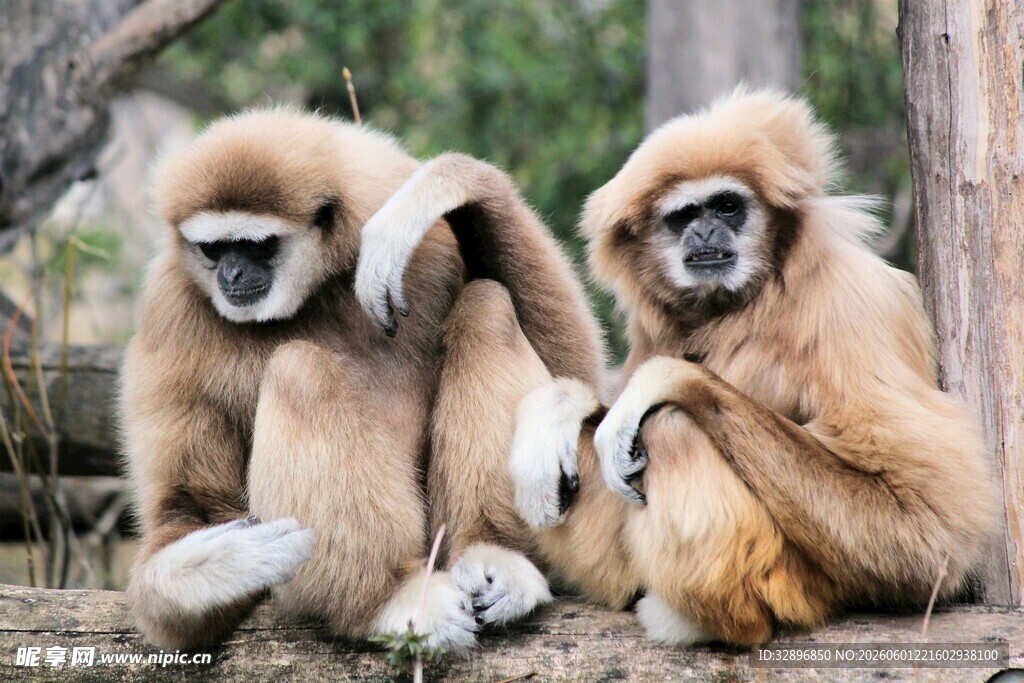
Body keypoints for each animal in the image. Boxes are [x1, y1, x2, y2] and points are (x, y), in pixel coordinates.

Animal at [500, 87, 1000, 645]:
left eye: (727, 205)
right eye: (683, 216)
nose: (704, 230)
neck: (754, 300)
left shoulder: (854, 303)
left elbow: (926, 529)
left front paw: (665, 379)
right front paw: (558, 409)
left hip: (800, 580)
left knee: (672, 427)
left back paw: (697, 618)